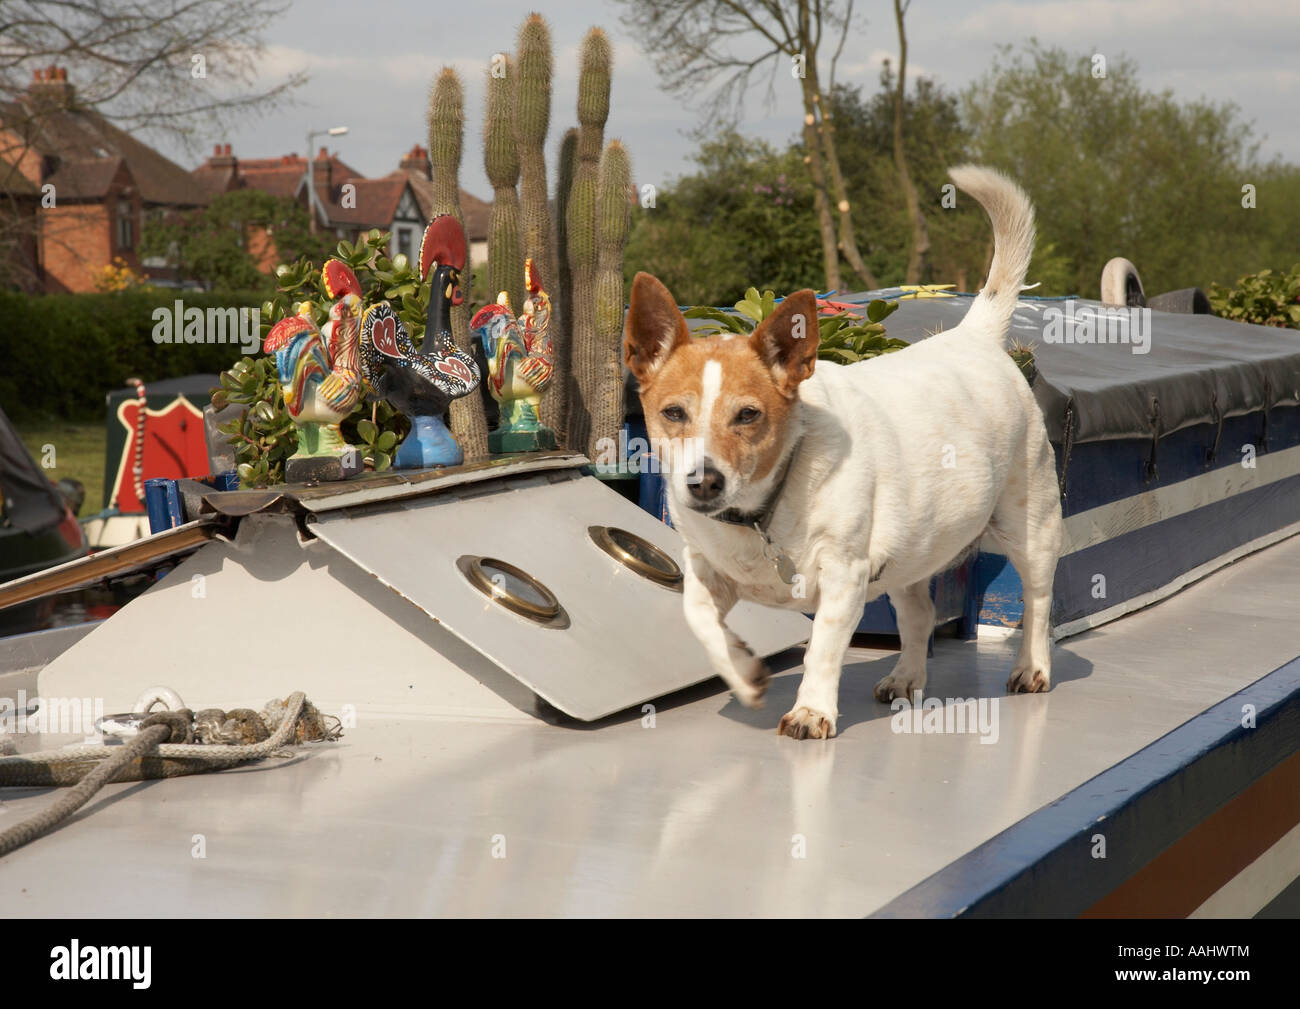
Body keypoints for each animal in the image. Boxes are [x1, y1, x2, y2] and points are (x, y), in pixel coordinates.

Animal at [626, 163, 1066, 733]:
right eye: (673, 413)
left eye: (748, 415)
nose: (703, 483)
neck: (761, 516)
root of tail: (975, 335)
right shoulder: (707, 571)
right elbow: (699, 619)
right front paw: (743, 672)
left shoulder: (844, 577)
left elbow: (822, 648)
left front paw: (811, 709)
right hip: (912, 551)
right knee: (920, 615)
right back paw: (906, 678)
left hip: (1030, 528)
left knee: (1038, 601)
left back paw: (1032, 667)